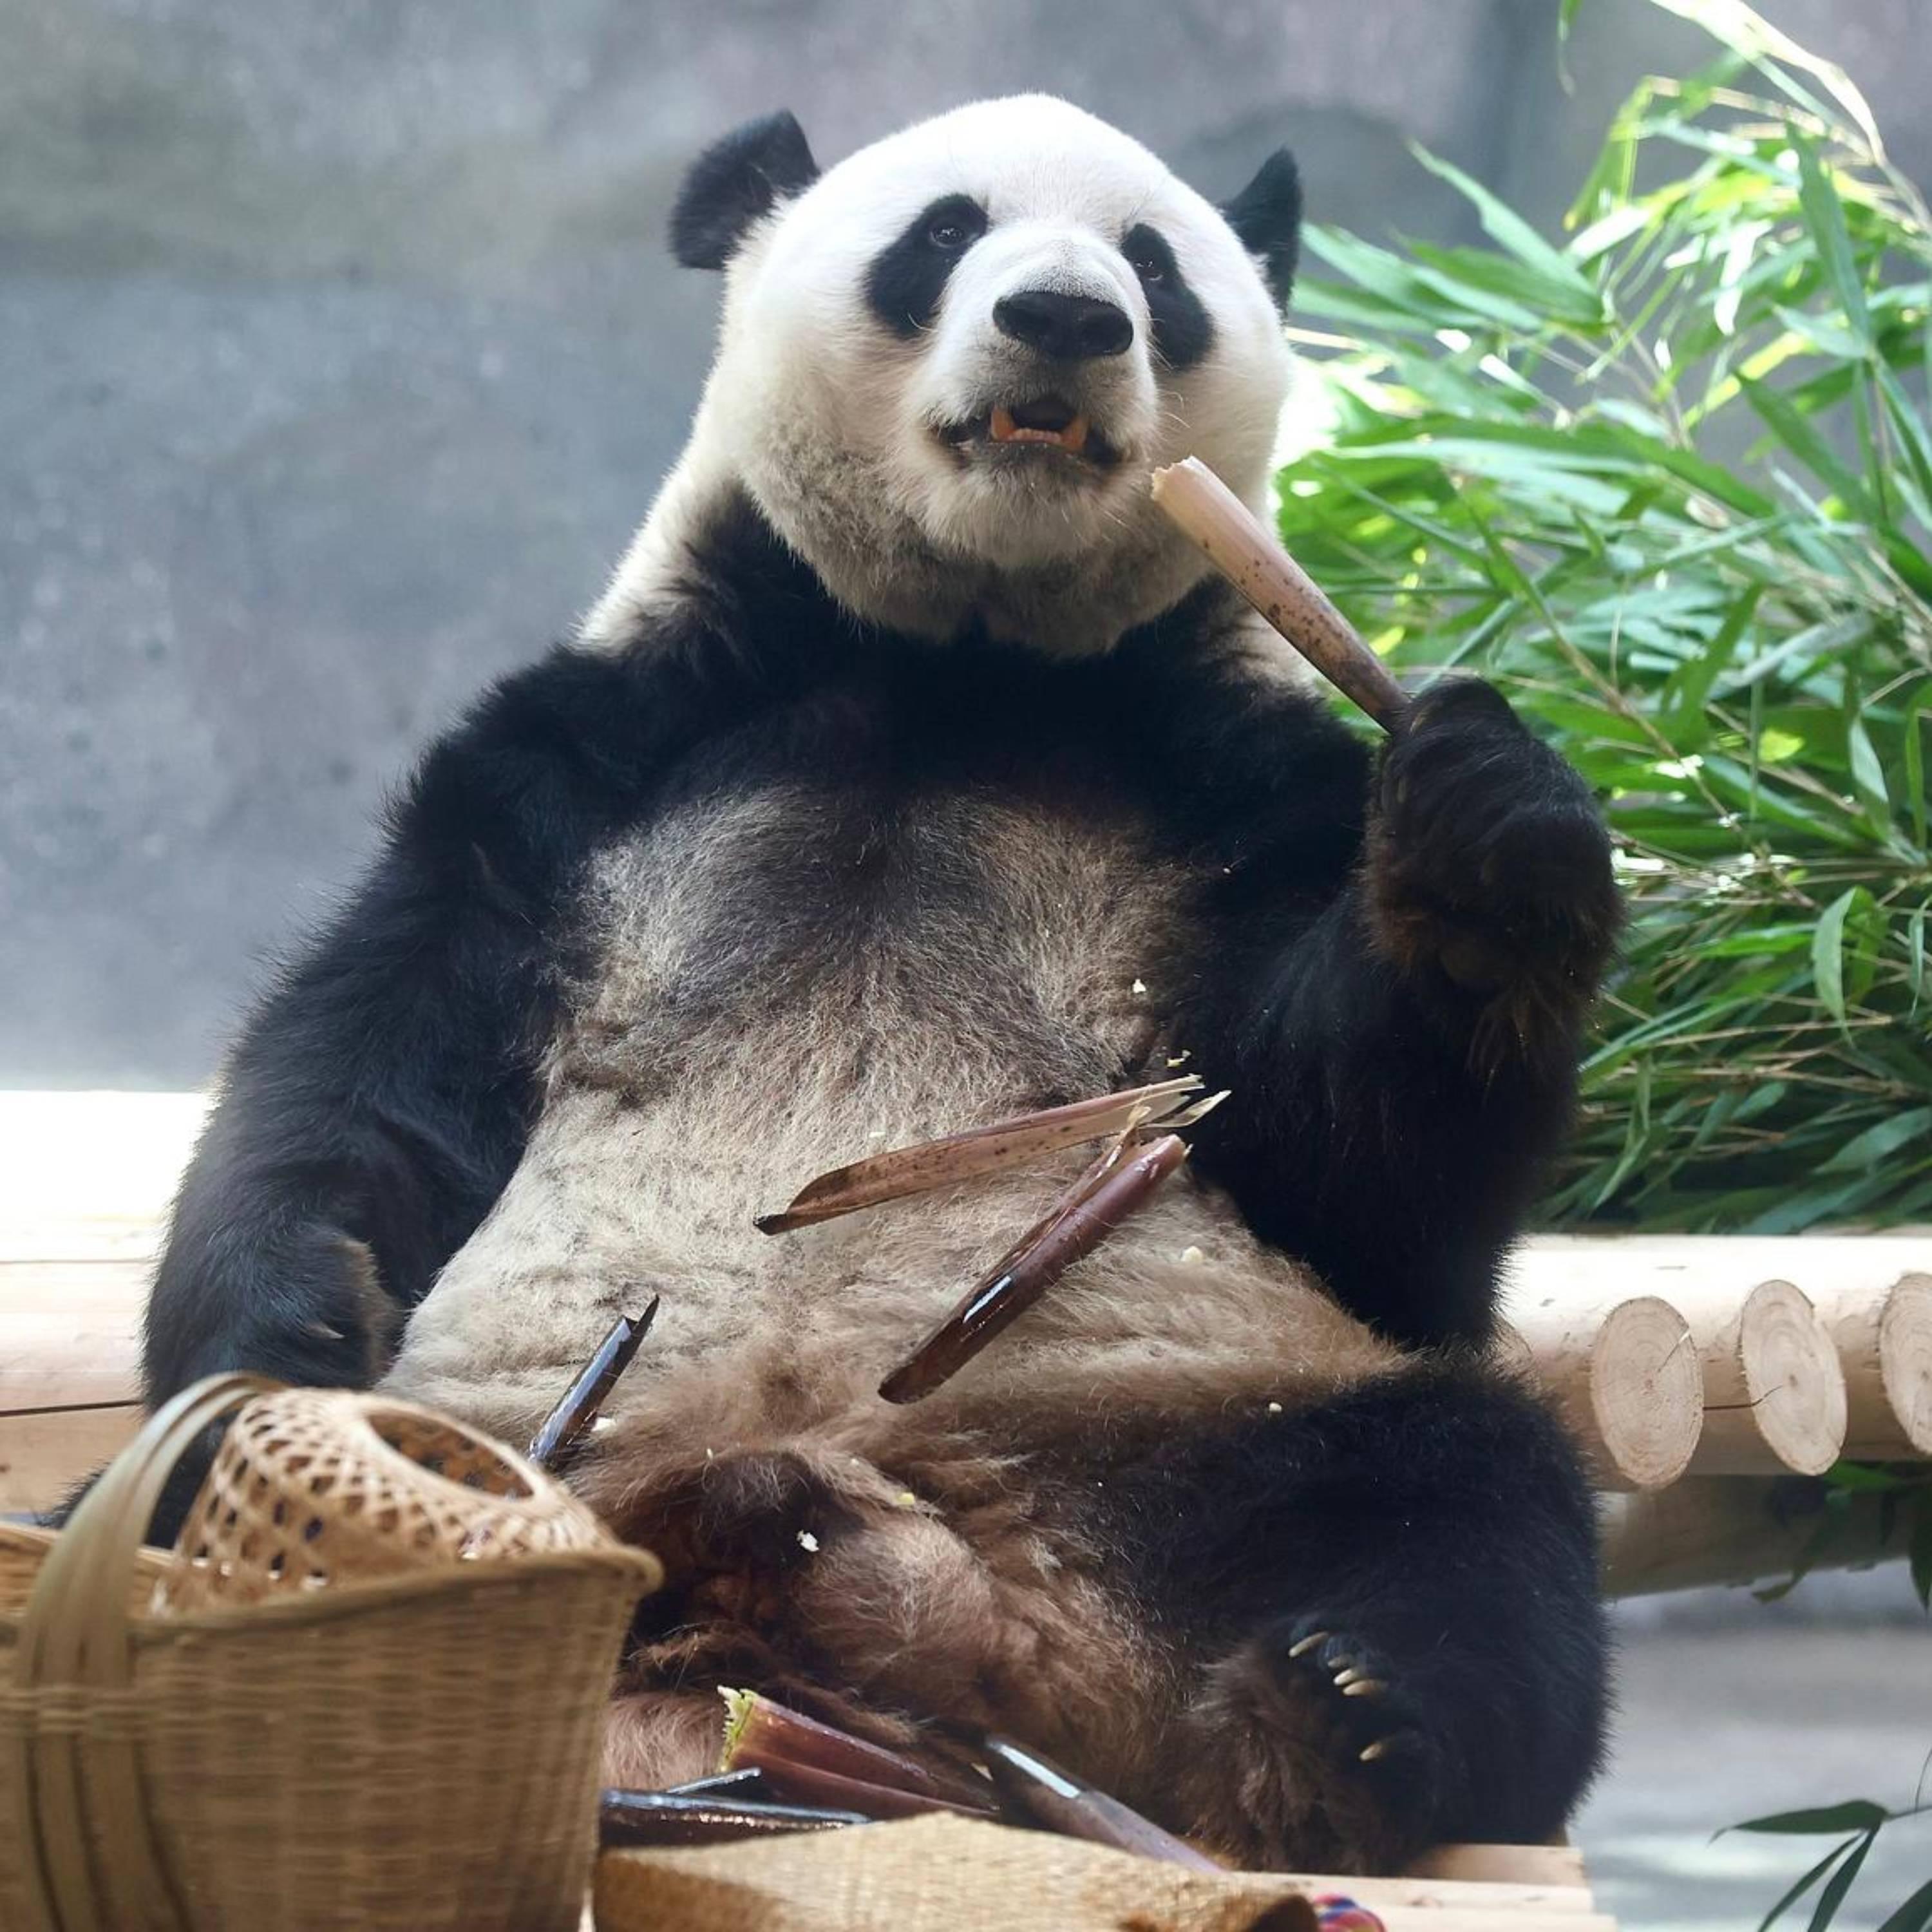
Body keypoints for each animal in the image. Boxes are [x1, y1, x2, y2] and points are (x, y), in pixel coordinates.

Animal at [142, 96, 1619, 1871]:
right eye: (942, 233)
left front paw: (1484, 848)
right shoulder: (600, 756)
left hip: (1210, 1405)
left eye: (1153, 269)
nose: (1063, 316)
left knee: (1467, 1500)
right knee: (218, 1499)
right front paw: (296, 1304)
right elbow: (367, 1051)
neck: (955, 660)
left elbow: (1368, 1190)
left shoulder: (1244, 790)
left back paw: (1336, 1718)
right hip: (493, 1435)